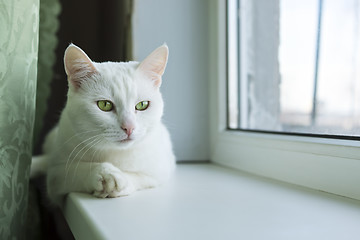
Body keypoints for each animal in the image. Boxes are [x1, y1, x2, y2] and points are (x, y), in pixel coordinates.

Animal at [33, 44, 176, 205]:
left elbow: (139, 176)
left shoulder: (161, 169)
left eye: (142, 105)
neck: (113, 153)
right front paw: (106, 174)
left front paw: (118, 180)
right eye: (104, 105)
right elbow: (77, 169)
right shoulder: (55, 177)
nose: (129, 127)